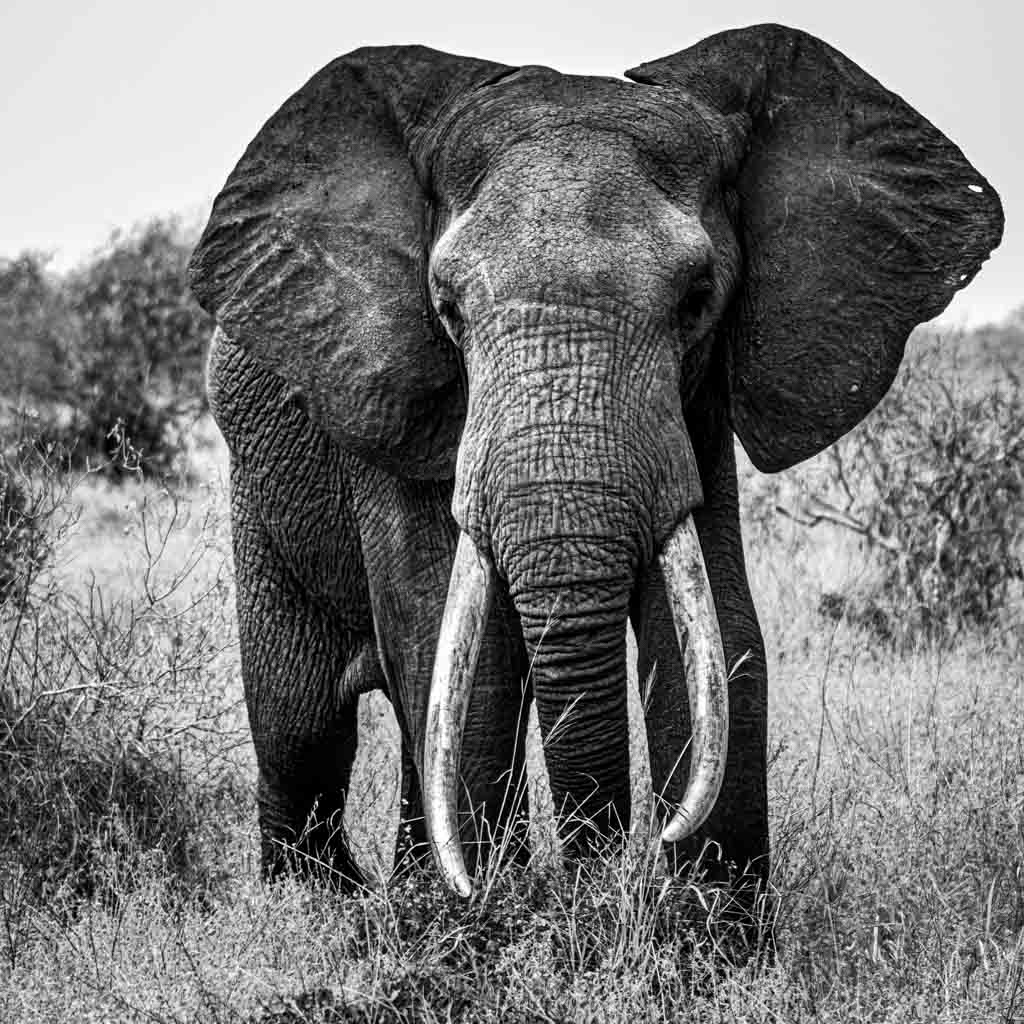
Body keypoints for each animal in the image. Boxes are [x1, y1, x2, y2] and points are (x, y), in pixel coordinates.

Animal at [188, 23, 1003, 901]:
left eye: (698, 298)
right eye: (447, 308)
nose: (607, 866)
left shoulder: (694, 406)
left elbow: (715, 638)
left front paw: (707, 929)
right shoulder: (386, 389)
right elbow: (454, 646)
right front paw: (482, 921)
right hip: (260, 491)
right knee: (303, 724)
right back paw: (316, 905)